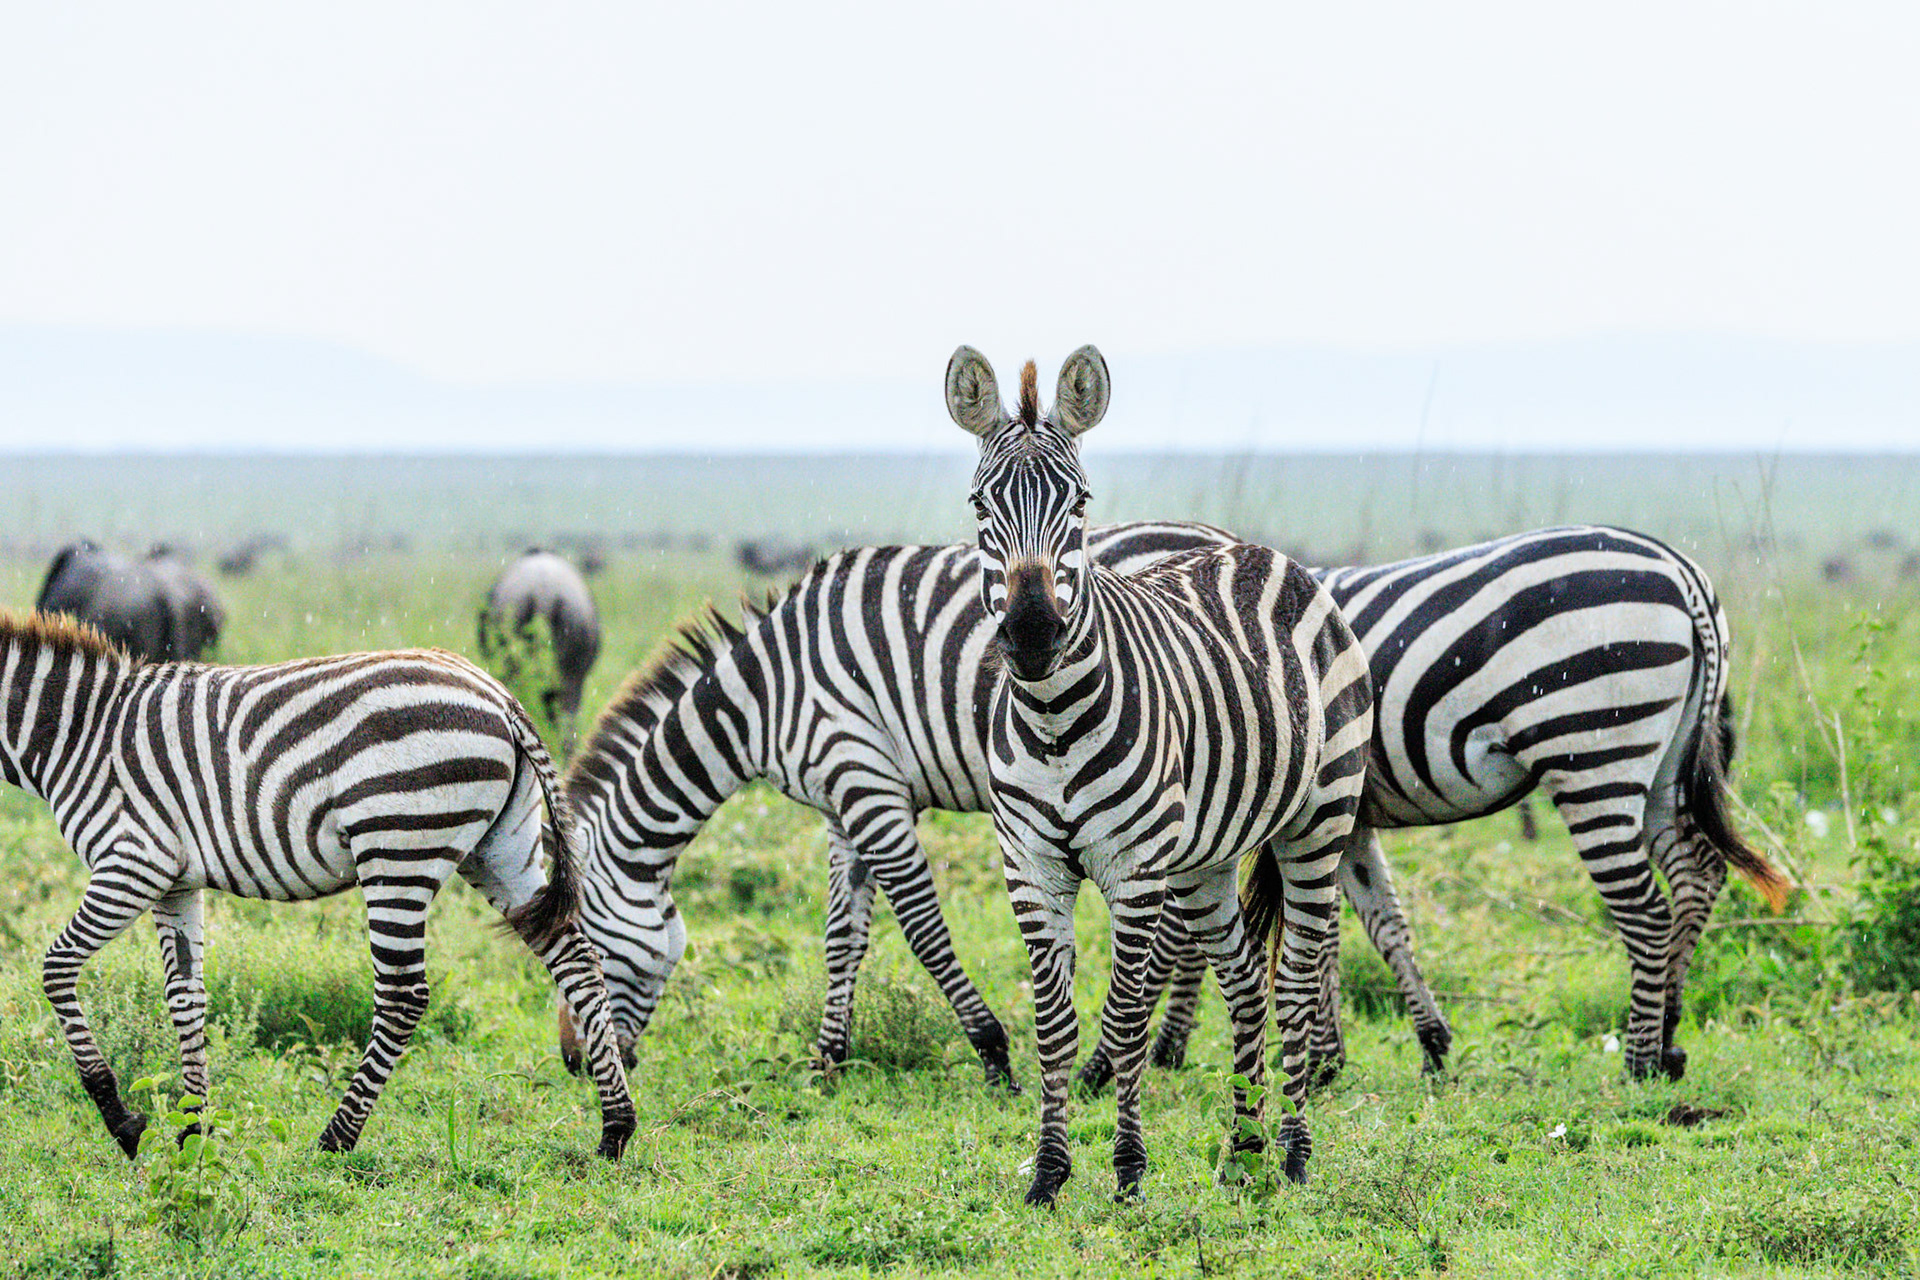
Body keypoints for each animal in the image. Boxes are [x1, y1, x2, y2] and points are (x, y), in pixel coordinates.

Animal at [0, 611, 635, 1160]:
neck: (77, 733)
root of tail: (501, 696)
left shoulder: (132, 863)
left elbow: (56, 967)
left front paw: (124, 1122)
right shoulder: (175, 882)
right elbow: (186, 997)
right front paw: (193, 1133)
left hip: (398, 846)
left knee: (403, 996)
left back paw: (336, 1138)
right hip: (503, 849)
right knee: (577, 960)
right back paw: (615, 1129)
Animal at [556, 519, 1244, 1082]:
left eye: (584, 955)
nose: (574, 1063)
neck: (761, 698)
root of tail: (1225, 541)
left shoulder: (865, 780)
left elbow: (922, 928)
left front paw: (992, 1051)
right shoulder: (840, 803)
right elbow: (841, 933)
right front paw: (828, 1058)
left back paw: (1119, 1059)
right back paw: (1169, 1048)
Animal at [949, 345, 1373, 1204]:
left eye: (1080, 504)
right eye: (980, 505)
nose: (1033, 634)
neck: (1052, 721)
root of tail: (1265, 552)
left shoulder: (1135, 871)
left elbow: (1124, 1021)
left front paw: (1128, 1170)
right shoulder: (1029, 867)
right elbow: (1054, 1023)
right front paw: (1048, 1173)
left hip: (1319, 820)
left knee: (1296, 980)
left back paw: (1293, 1152)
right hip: (1208, 857)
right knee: (1244, 980)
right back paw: (1243, 1149)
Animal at [1084, 525, 1791, 1088]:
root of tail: (1680, 568)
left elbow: (1180, 939)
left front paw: (1128, 1057)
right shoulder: (1332, 815)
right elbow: (1367, 923)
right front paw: (1361, 1050)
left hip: (1593, 749)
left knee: (1644, 910)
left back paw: (1640, 1059)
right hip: (1665, 766)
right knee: (1697, 874)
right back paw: (1669, 1034)